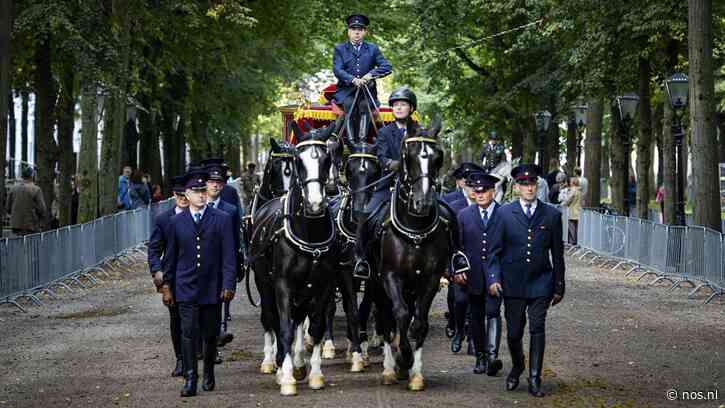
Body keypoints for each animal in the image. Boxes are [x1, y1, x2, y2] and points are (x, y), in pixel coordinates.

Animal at [247, 121, 340, 396]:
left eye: (327, 159)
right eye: (300, 160)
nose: (315, 203)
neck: (308, 231)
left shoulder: (322, 286)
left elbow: (316, 326)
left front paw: (315, 374)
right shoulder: (282, 285)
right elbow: (285, 328)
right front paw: (286, 376)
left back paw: (298, 362)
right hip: (264, 283)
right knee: (271, 319)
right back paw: (274, 363)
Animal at [364, 119, 456, 390]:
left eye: (438, 157)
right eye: (408, 156)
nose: (422, 203)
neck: (415, 230)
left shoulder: (430, 279)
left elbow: (419, 323)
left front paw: (415, 372)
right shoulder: (390, 277)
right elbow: (401, 315)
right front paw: (402, 358)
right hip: (376, 284)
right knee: (385, 319)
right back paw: (389, 368)